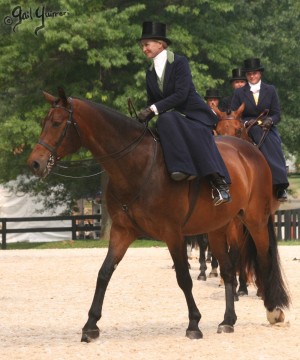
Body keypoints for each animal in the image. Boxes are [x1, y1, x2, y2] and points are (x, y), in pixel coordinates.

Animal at [27, 88, 290, 342]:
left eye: (57, 123)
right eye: (43, 122)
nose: (35, 163)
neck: (137, 166)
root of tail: (251, 152)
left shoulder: (173, 233)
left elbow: (183, 277)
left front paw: (194, 323)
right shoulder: (122, 232)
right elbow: (104, 273)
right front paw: (90, 325)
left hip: (254, 221)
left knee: (264, 259)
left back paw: (273, 309)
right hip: (218, 227)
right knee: (227, 270)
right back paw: (228, 320)